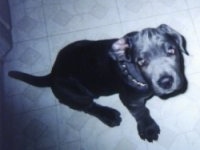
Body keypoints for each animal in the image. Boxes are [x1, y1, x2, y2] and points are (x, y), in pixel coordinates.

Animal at [7, 24, 188, 142]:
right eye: (141, 61)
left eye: (171, 50)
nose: (166, 81)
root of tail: (53, 73)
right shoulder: (130, 99)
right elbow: (141, 112)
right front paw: (148, 128)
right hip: (74, 94)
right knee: (88, 107)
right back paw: (109, 115)